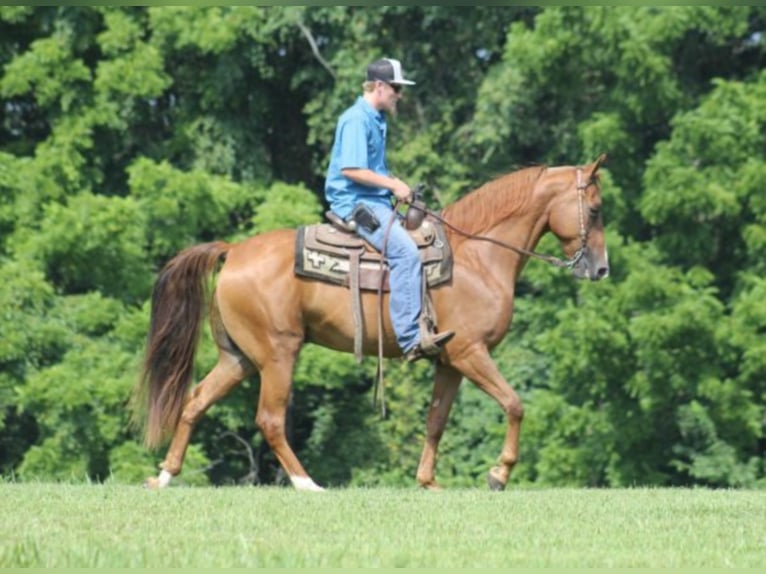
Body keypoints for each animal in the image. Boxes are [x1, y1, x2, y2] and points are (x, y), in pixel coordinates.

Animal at [134, 155, 612, 492]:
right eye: (596, 208)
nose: (602, 269)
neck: (478, 257)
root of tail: (232, 251)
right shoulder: (470, 352)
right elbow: (514, 404)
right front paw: (499, 474)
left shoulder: (449, 362)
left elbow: (435, 420)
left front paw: (428, 482)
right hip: (277, 354)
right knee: (269, 419)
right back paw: (308, 484)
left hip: (239, 359)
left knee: (195, 401)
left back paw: (164, 476)